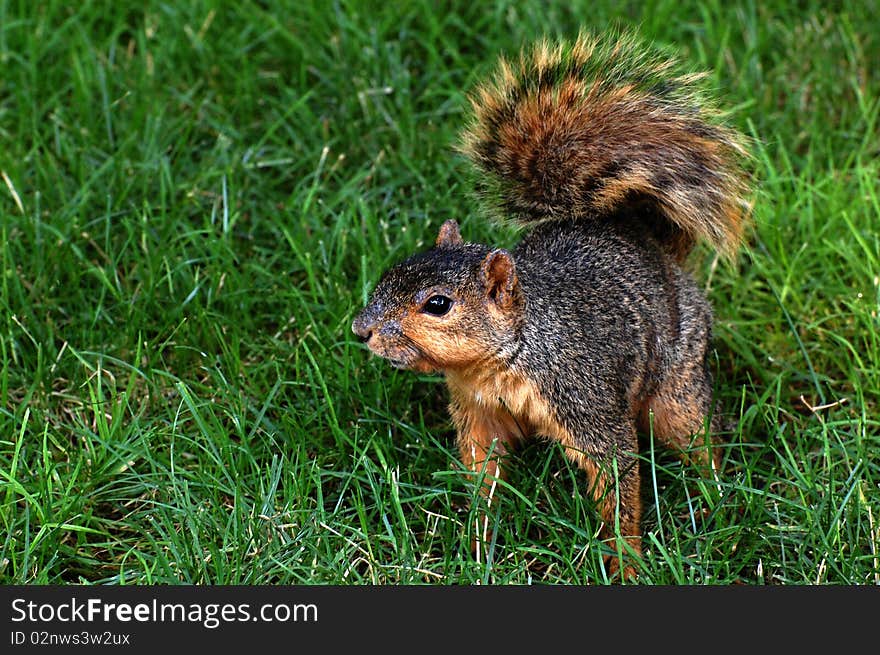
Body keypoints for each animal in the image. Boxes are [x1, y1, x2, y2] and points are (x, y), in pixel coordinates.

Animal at [350, 32, 748, 580]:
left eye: (438, 304)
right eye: (390, 272)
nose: (360, 329)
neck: (504, 362)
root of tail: (652, 244)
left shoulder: (586, 400)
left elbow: (617, 481)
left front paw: (625, 563)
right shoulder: (479, 414)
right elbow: (483, 476)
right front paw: (477, 545)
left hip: (678, 383)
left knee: (698, 437)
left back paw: (716, 503)